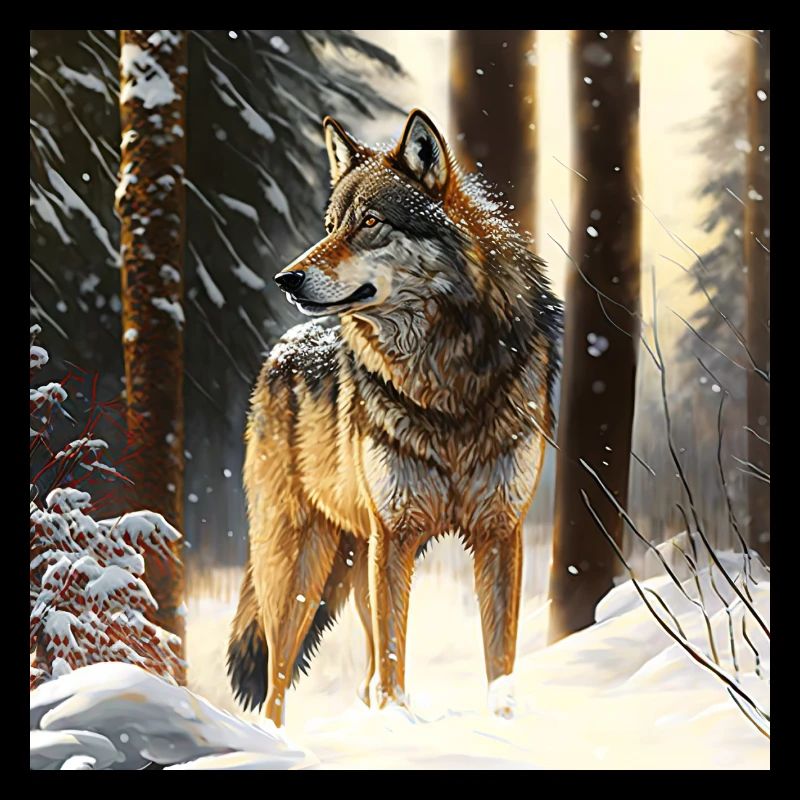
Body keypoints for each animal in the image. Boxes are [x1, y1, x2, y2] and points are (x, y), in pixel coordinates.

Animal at [227, 109, 562, 726]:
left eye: (370, 222)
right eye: (330, 225)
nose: (286, 279)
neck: (444, 379)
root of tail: (278, 351)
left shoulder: (500, 530)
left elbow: (499, 656)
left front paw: (500, 722)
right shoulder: (396, 534)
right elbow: (392, 666)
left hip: (356, 562)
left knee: (357, 678)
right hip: (301, 568)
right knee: (277, 681)